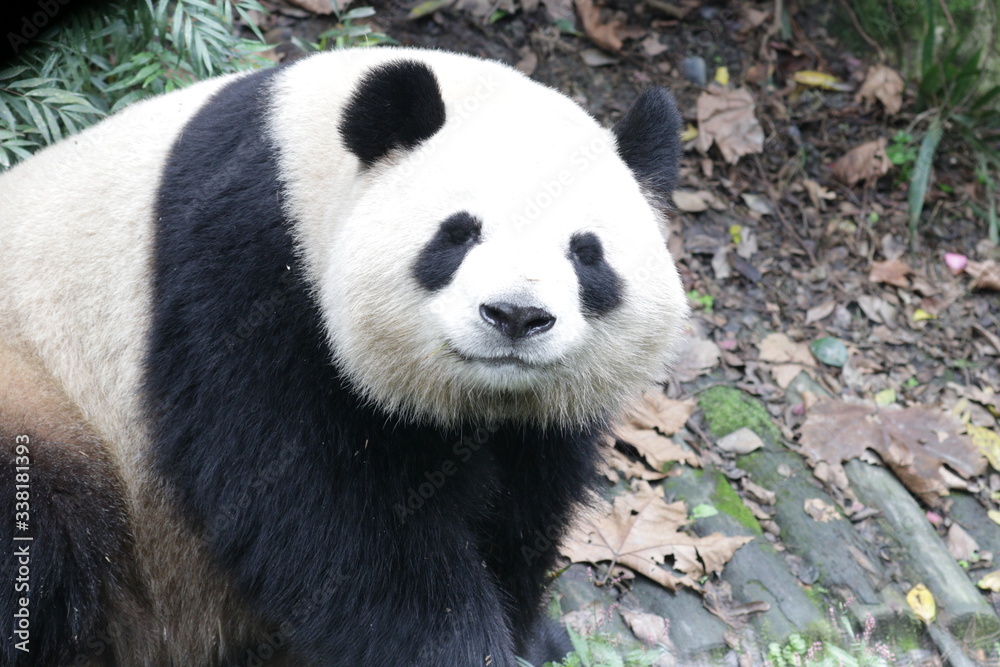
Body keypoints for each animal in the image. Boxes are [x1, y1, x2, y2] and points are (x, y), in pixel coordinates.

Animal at [0, 48, 688, 667]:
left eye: (586, 253)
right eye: (457, 234)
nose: (516, 315)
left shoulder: (536, 422)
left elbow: (524, 508)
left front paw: (532, 638)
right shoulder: (247, 275)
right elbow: (326, 517)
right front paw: (460, 649)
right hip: (46, 398)